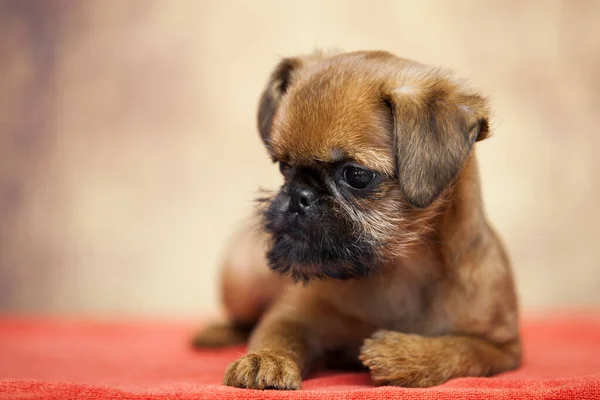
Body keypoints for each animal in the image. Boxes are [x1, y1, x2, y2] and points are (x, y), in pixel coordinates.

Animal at [193, 50, 520, 390]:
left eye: (356, 175)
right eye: (283, 167)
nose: (299, 195)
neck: (396, 270)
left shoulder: (503, 348)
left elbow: (461, 350)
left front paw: (404, 355)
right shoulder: (291, 315)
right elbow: (279, 333)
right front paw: (265, 359)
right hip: (240, 276)